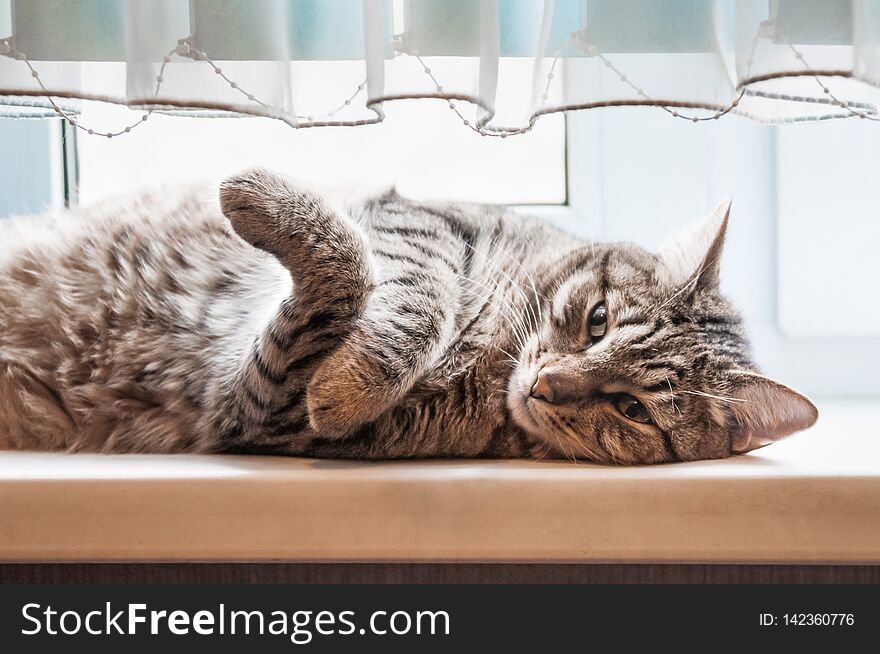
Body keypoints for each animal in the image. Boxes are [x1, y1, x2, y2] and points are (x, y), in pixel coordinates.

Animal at [0, 170, 820, 466]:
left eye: (632, 410)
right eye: (595, 320)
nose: (546, 387)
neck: (494, 357)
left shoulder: (262, 415)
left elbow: (342, 294)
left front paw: (340, 388)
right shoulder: (421, 224)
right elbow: (400, 292)